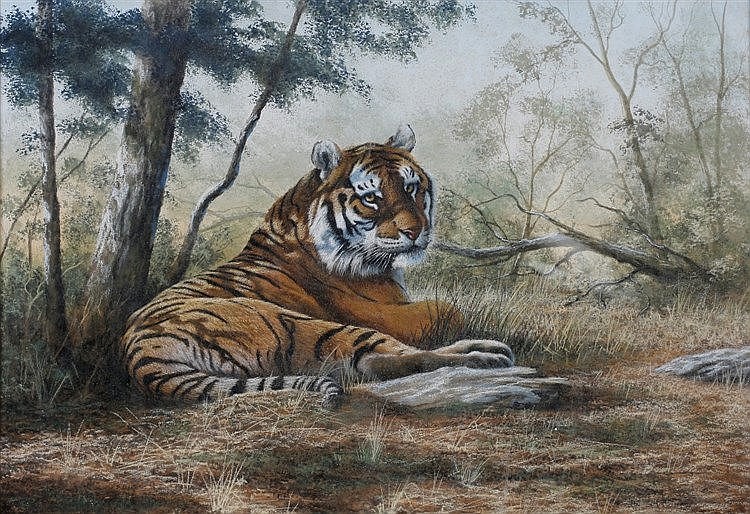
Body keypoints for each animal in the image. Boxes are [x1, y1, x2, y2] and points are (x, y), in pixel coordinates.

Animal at [120, 125, 514, 407]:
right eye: (372, 198)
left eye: (411, 188)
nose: (416, 232)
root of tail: (140, 351)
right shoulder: (382, 313)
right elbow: (448, 310)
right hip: (294, 321)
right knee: (388, 358)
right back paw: (485, 357)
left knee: (374, 362)